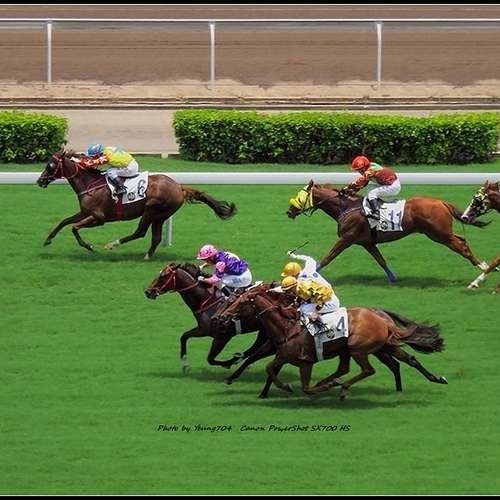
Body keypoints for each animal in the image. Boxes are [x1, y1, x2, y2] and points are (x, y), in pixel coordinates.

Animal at [36, 150, 236, 259]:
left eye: (50, 165)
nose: (39, 181)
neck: (90, 185)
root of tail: (179, 186)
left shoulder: (98, 218)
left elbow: (74, 228)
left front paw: (89, 246)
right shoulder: (85, 212)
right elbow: (64, 222)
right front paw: (47, 239)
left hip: (152, 209)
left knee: (140, 232)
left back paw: (113, 244)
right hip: (160, 216)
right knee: (155, 237)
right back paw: (147, 255)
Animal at [216, 286, 447, 398]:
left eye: (240, 303)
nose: (221, 316)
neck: (287, 326)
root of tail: (382, 318)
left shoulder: (302, 360)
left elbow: (274, 370)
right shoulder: (281, 353)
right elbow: (269, 369)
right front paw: (265, 391)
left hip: (359, 349)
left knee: (372, 369)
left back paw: (341, 387)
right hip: (378, 347)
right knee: (404, 361)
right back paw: (428, 381)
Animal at [285, 180, 490, 282]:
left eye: (300, 196)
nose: (289, 211)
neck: (346, 207)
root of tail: (441, 202)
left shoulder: (346, 239)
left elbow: (328, 257)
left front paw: (309, 273)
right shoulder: (367, 242)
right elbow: (381, 260)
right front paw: (393, 278)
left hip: (439, 234)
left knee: (461, 246)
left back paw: (483, 267)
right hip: (442, 233)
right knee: (462, 240)